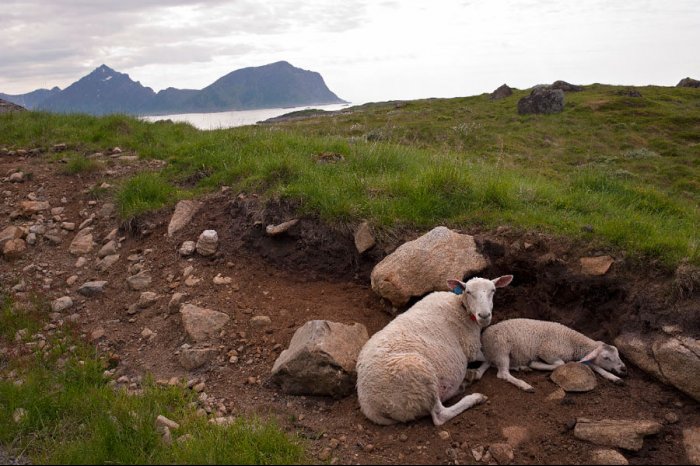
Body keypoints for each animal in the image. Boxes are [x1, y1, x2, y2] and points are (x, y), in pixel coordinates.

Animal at [358, 276, 512, 426]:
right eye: (468, 291)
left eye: (493, 290)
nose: (484, 315)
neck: (461, 307)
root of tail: (371, 407)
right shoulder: (471, 348)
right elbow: (488, 357)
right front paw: (478, 372)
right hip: (419, 378)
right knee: (440, 415)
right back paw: (474, 396)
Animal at [476, 318, 628, 392]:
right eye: (606, 358)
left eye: (617, 353)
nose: (624, 369)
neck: (572, 342)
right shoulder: (547, 352)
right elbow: (560, 364)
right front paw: (535, 364)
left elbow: (594, 366)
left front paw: (614, 378)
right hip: (501, 349)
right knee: (502, 373)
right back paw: (525, 385)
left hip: (500, 353)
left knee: (497, 366)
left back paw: (521, 368)